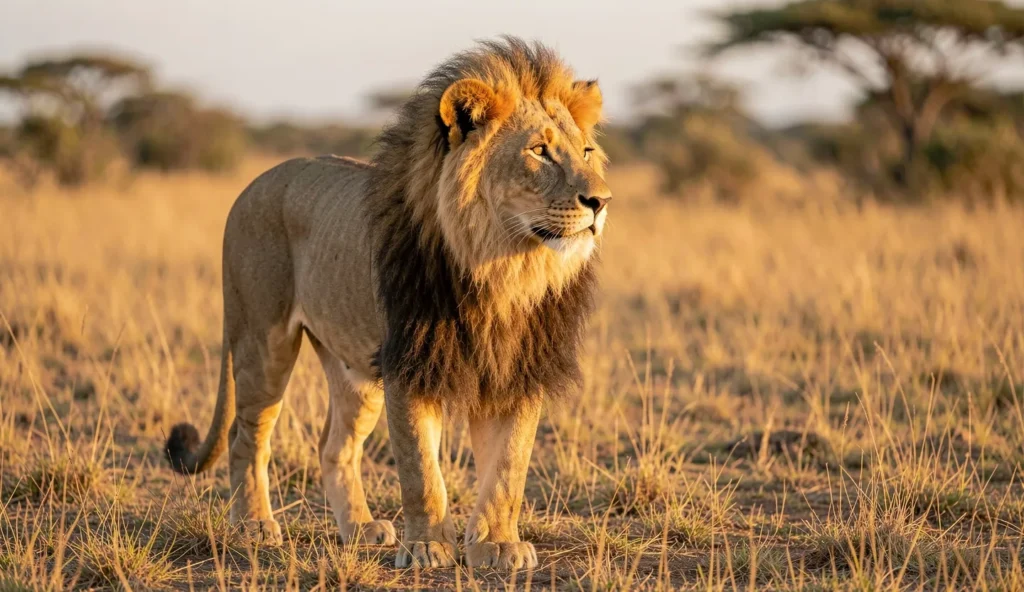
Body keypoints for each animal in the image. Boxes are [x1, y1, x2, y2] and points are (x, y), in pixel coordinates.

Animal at [165, 37, 611, 570]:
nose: (602, 201)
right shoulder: (409, 365)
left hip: (355, 370)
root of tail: (254, 183)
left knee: (333, 447)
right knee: (246, 436)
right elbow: (422, 471)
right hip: (262, 340)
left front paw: (498, 545)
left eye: (586, 151)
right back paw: (254, 525)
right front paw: (426, 548)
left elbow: (508, 469)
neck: (504, 269)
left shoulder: (516, 372)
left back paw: (359, 528)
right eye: (539, 152)